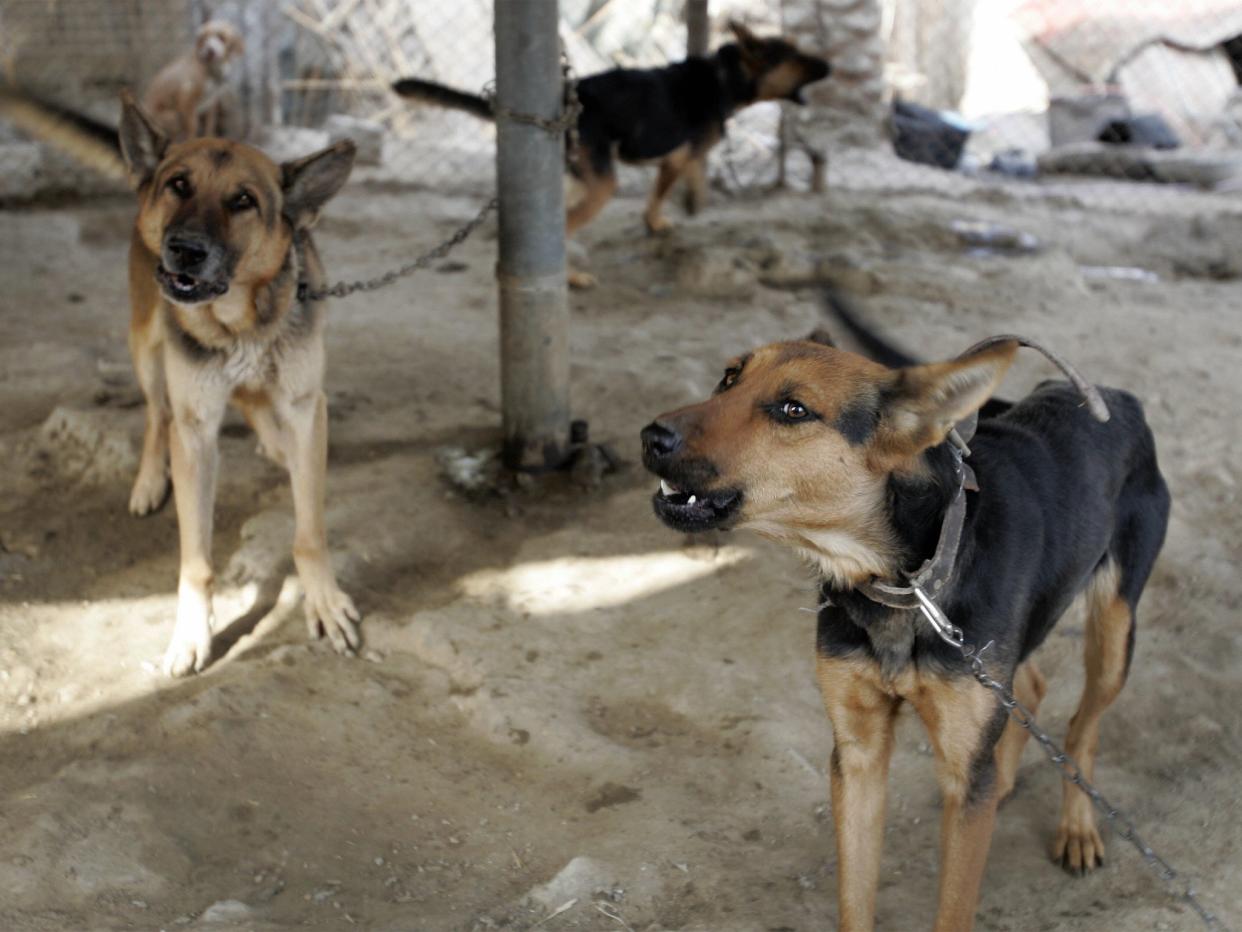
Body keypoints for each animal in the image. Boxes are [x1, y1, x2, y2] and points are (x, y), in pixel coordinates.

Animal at [117, 93, 360, 680]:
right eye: (179, 184)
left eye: (243, 200)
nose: (184, 250)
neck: (239, 325)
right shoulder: (196, 431)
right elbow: (196, 560)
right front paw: (191, 633)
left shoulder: (305, 407)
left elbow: (309, 532)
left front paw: (322, 601)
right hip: (147, 347)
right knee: (157, 414)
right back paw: (149, 480)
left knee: (256, 404)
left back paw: (274, 443)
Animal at [392, 22, 829, 242]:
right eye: (796, 57)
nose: (829, 65)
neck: (725, 78)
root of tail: (568, 98)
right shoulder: (677, 158)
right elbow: (660, 195)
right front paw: (658, 222)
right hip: (603, 183)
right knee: (566, 225)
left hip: (579, 176)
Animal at [645, 304, 1167, 929]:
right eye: (728, 378)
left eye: (793, 409)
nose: (651, 437)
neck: (905, 583)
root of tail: (1113, 395)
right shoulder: (858, 754)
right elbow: (855, 896)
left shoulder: (960, 766)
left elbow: (954, 907)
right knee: (1031, 689)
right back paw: (1006, 780)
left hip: (1113, 629)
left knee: (1082, 727)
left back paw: (1078, 827)